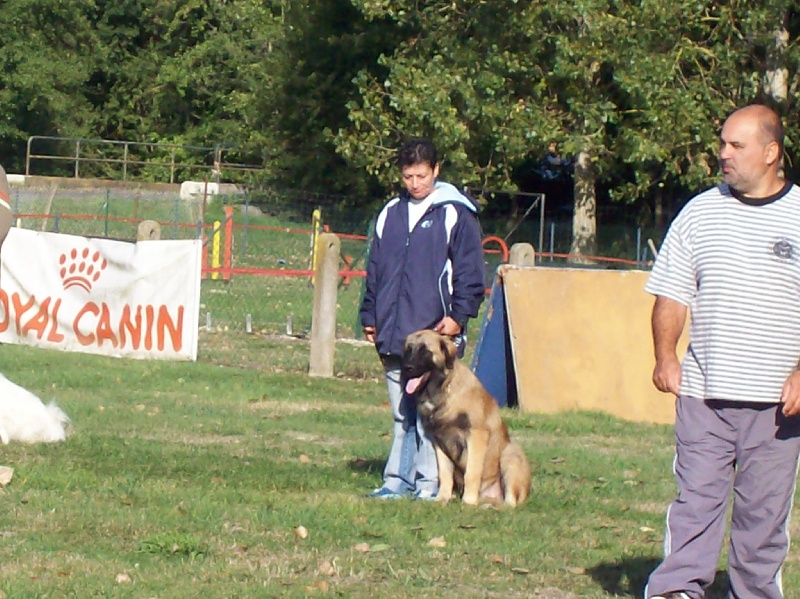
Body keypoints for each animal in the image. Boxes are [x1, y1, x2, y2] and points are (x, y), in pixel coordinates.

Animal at [404, 328, 528, 506]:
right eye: (408, 350)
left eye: (425, 351)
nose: (407, 368)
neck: (443, 390)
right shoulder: (439, 441)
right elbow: (445, 474)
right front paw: (442, 498)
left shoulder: (476, 435)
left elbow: (472, 472)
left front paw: (468, 501)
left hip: (511, 453)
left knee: (510, 502)